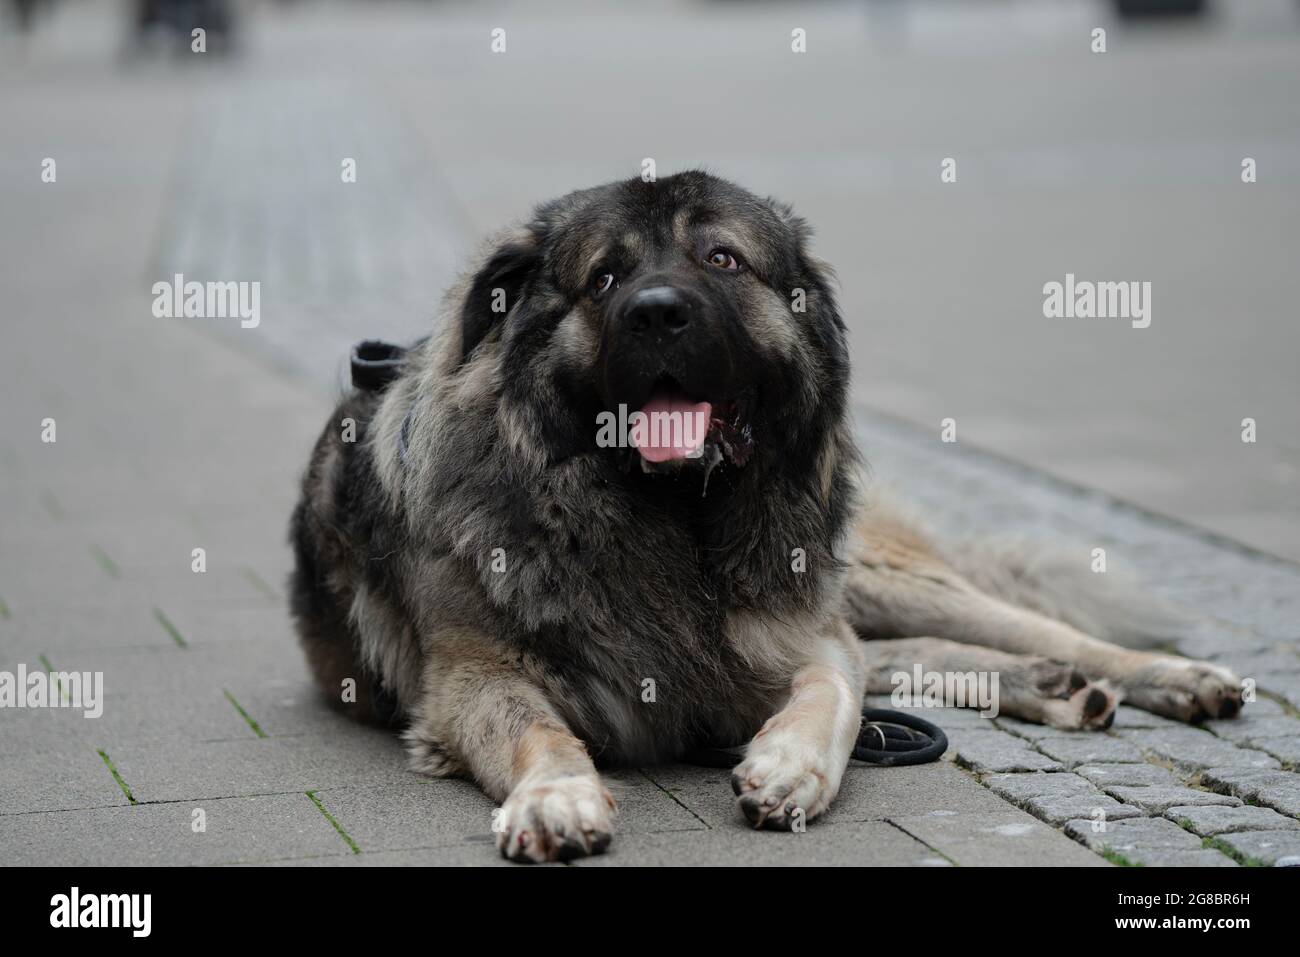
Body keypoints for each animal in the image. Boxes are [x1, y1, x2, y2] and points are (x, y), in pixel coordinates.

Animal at [289, 174, 1242, 868]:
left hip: (869, 574)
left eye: (723, 258)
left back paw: (1160, 675)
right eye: (604, 277)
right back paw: (1043, 685)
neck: (668, 520)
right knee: (908, 653)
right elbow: (538, 730)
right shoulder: (473, 679)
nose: (658, 311)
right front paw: (556, 796)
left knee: (1015, 628)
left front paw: (790, 765)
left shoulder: (800, 635)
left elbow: (834, 691)